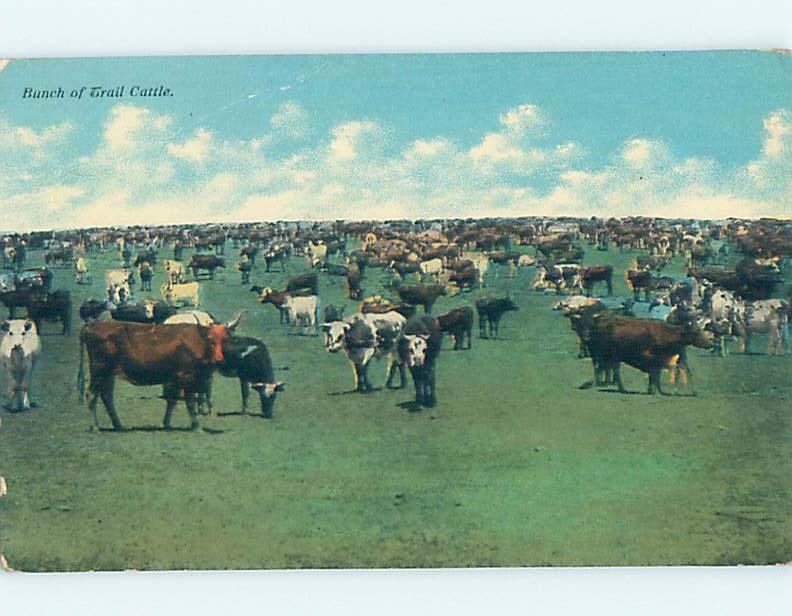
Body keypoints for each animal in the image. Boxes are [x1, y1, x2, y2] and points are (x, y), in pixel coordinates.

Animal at [77, 320, 230, 430]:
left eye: (225, 340)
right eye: (210, 340)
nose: (219, 359)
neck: (197, 341)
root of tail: (92, 324)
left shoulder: (176, 379)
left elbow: (172, 400)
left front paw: (167, 423)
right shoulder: (187, 377)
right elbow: (190, 402)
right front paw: (195, 425)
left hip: (108, 374)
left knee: (106, 396)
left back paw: (118, 425)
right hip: (99, 371)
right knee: (91, 395)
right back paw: (95, 426)